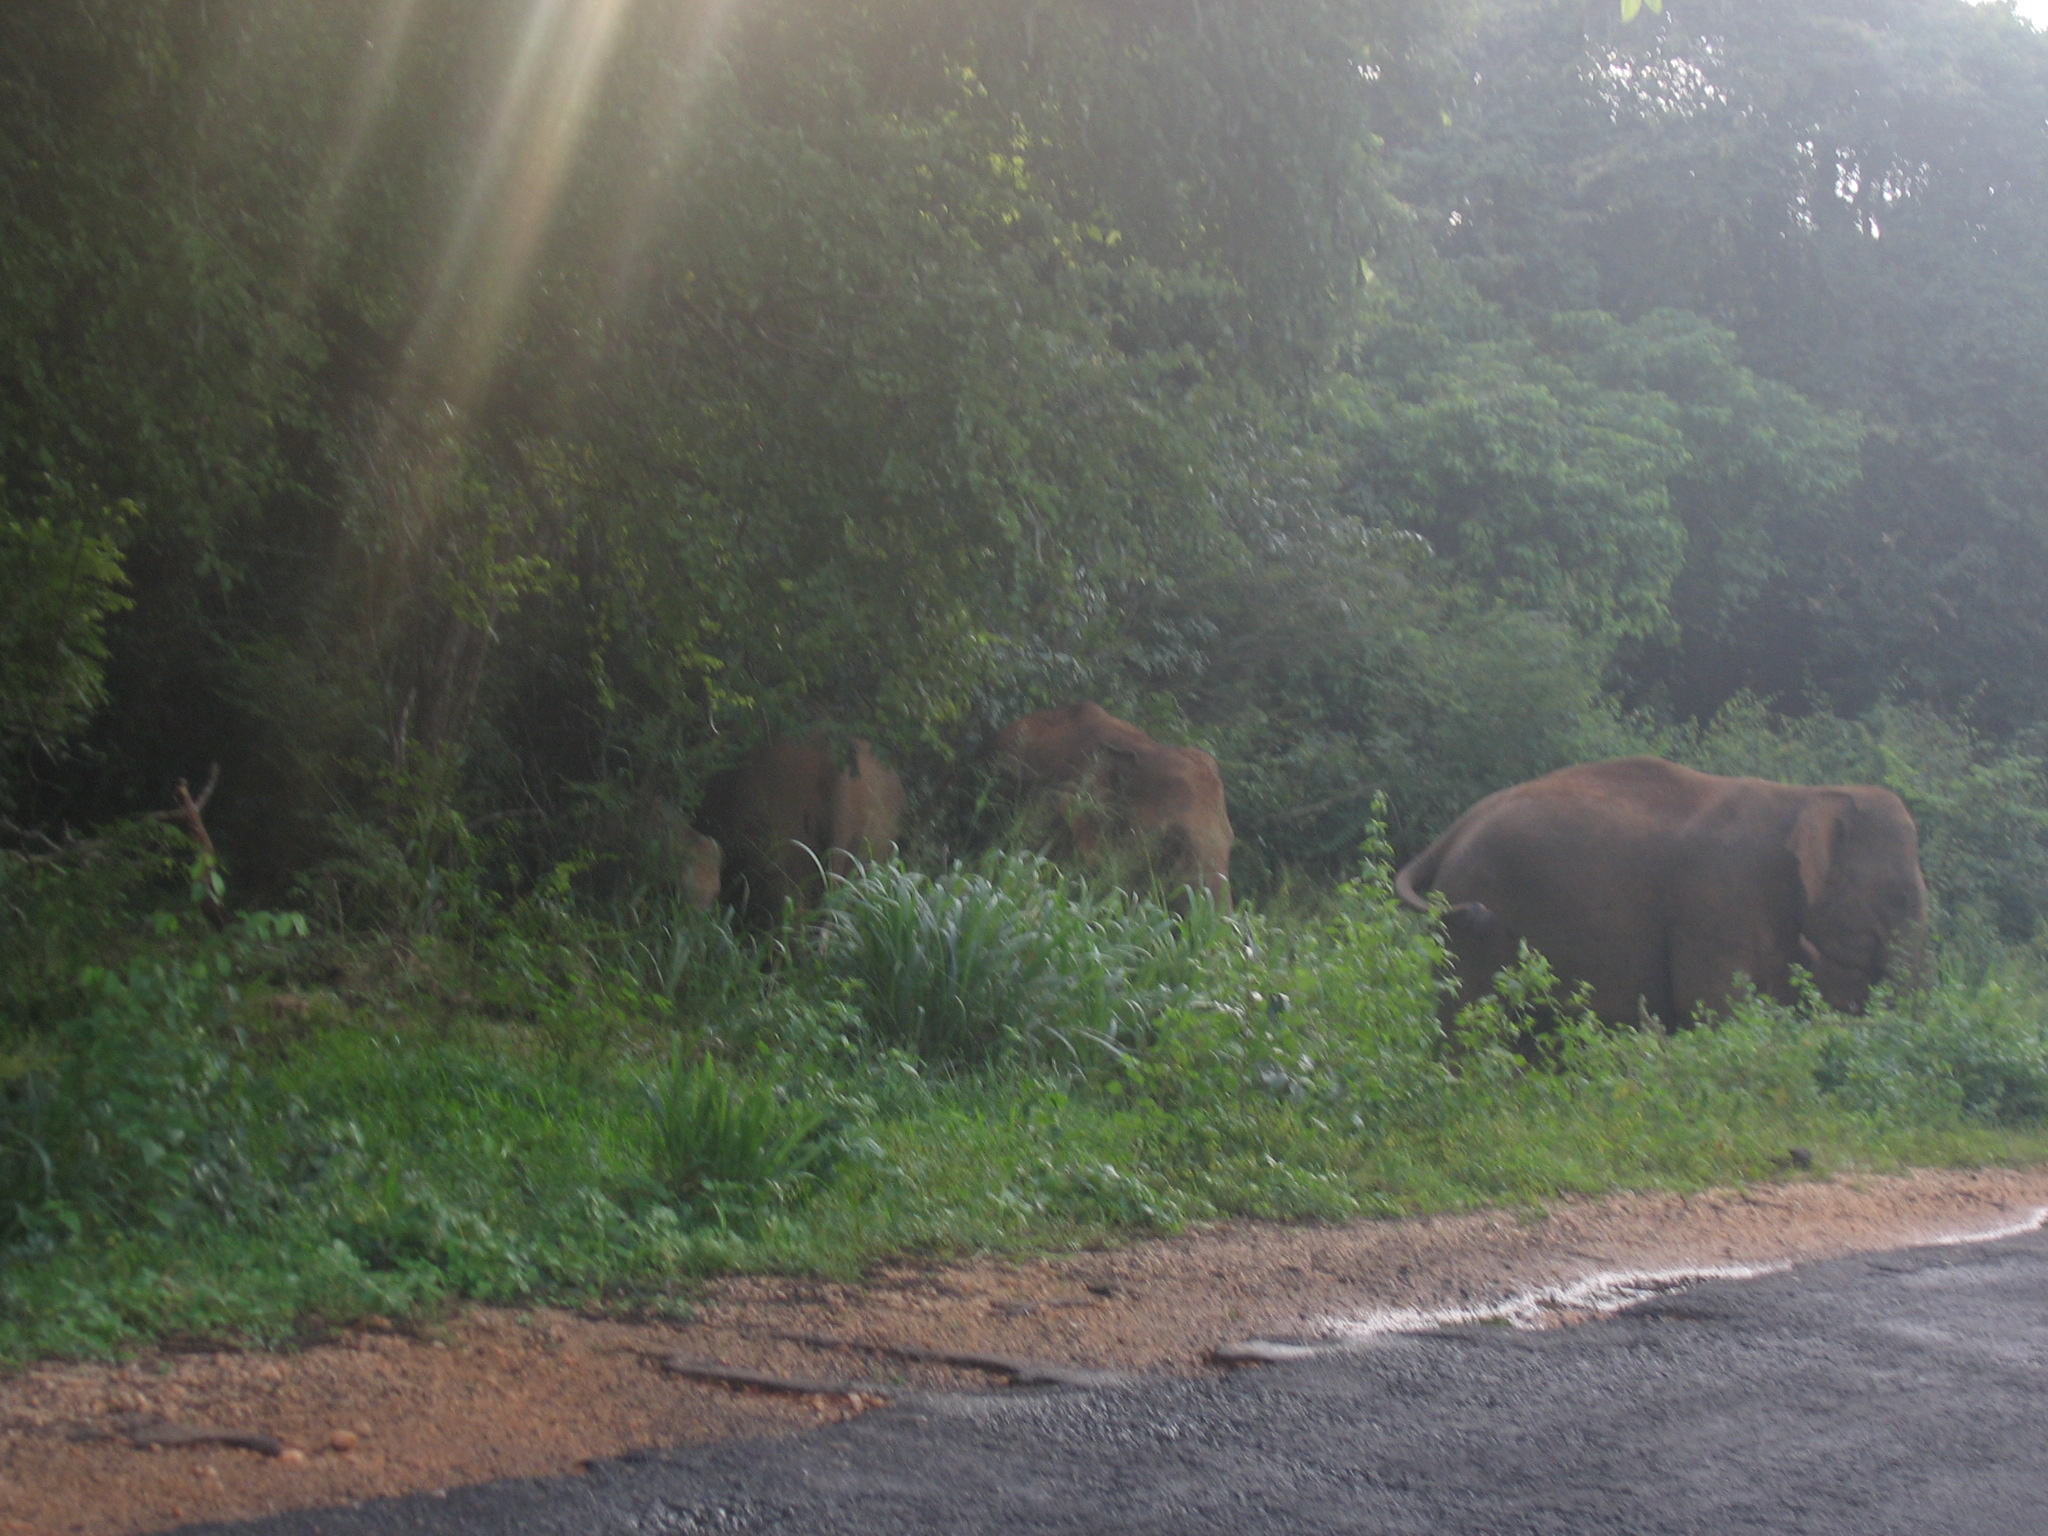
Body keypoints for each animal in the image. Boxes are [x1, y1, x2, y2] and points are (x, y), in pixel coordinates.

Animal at [1400, 753, 1925, 1028]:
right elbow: (1712, 1004)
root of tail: (1456, 828)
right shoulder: (1717, 898)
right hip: (1473, 908)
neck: (1808, 795)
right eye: (1899, 898)